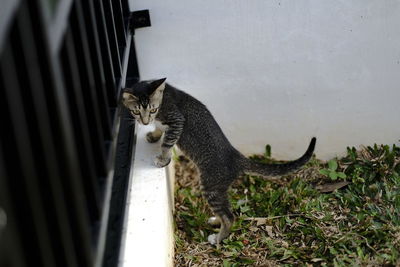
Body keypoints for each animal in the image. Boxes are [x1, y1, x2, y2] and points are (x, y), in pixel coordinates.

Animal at [122, 78, 316, 245]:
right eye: (136, 111)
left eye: (153, 110)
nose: (144, 121)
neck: (164, 95)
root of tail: (236, 156)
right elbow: (159, 129)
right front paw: (153, 135)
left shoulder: (176, 120)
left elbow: (167, 142)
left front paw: (162, 158)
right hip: (219, 189)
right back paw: (216, 221)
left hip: (211, 185)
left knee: (229, 216)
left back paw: (218, 238)